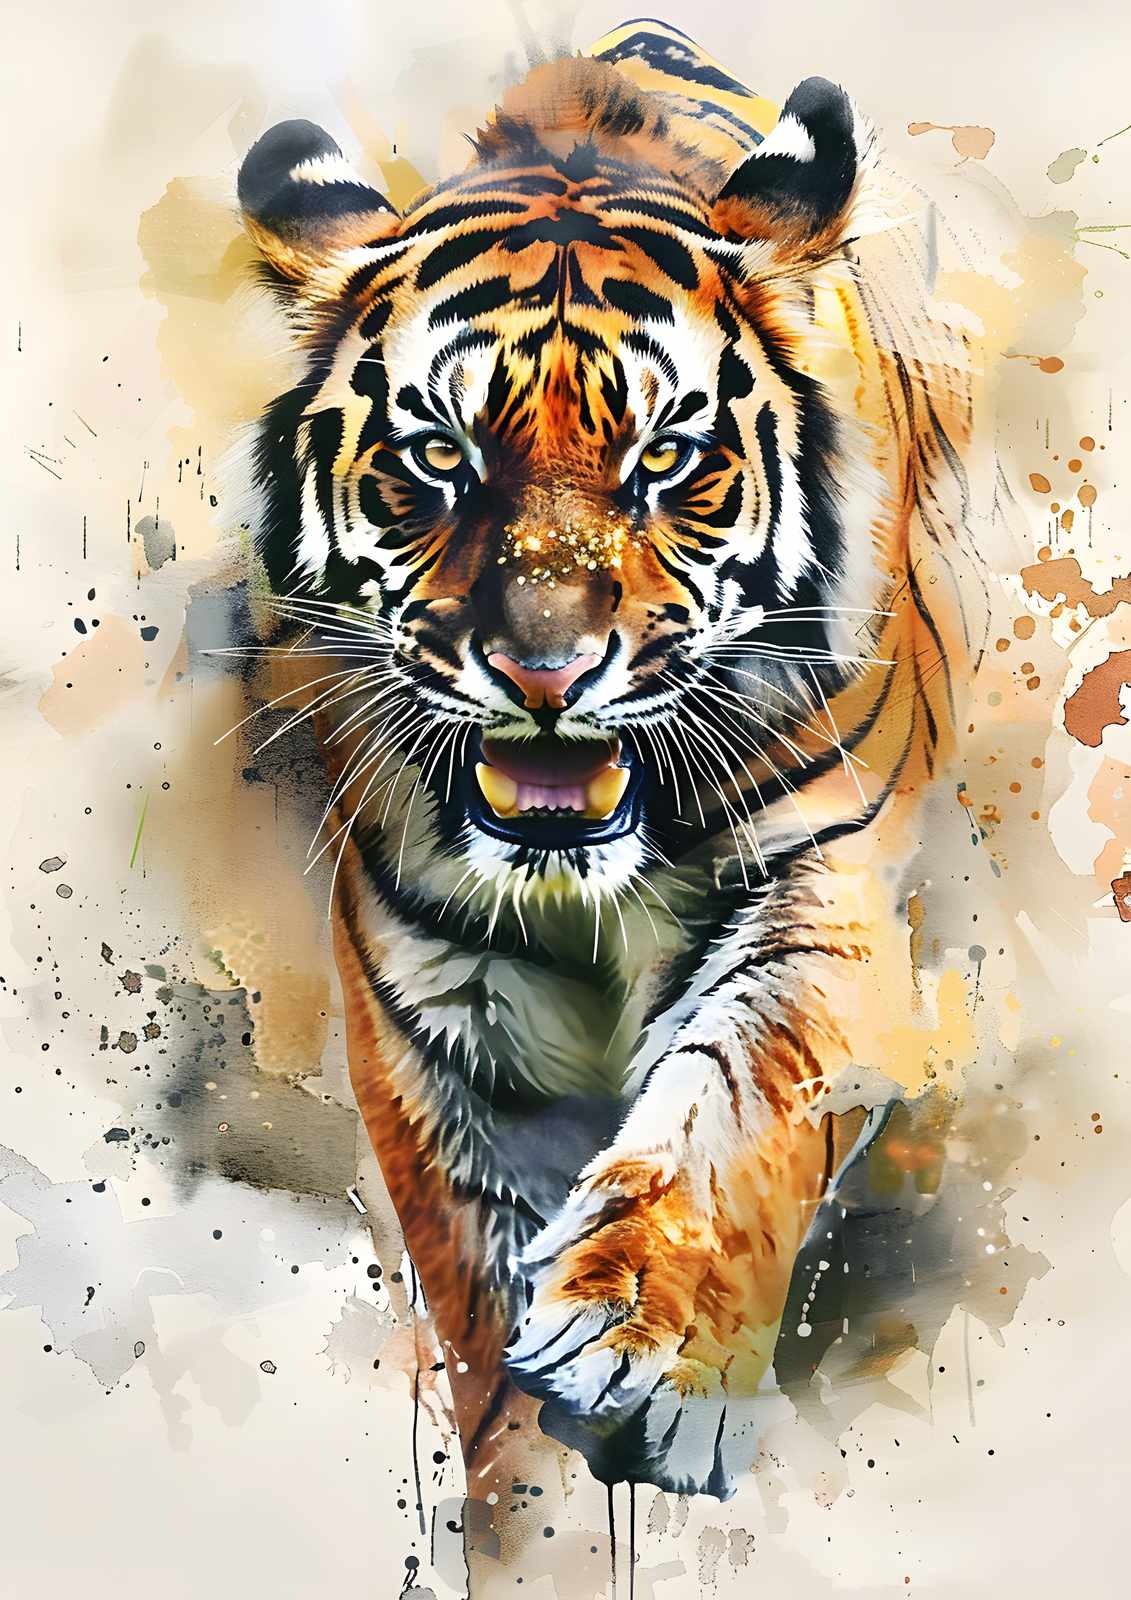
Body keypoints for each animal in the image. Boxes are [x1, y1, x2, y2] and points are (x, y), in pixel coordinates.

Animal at [231, 15, 990, 1515]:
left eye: (666, 460)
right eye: (438, 458)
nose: (544, 669)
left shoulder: (822, 880)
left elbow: (742, 1098)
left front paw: (640, 1338)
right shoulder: (432, 990)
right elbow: (469, 1272)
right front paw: (523, 1475)